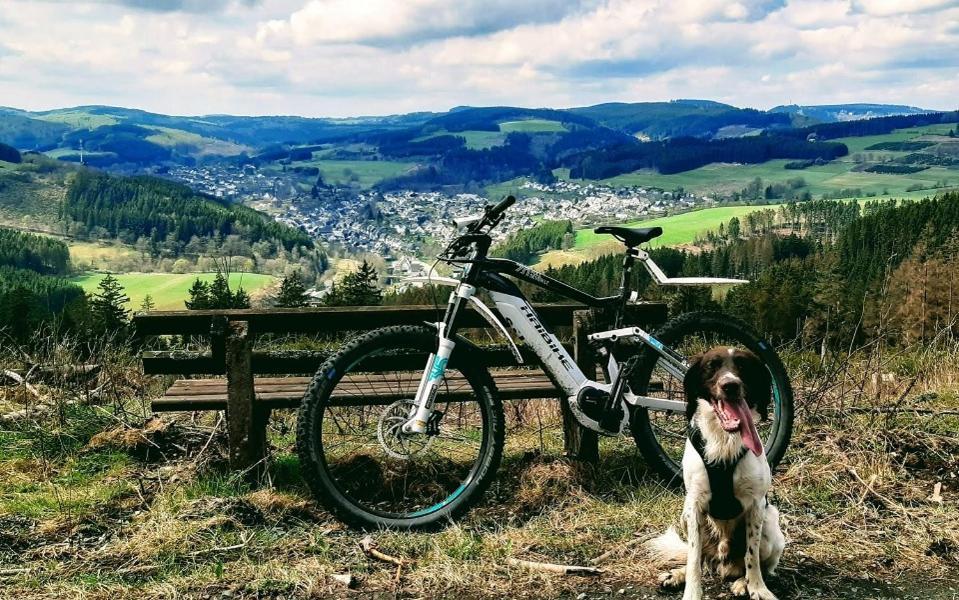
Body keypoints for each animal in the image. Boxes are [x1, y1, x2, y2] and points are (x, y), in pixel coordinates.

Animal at [644, 346, 788, 600]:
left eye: (743, 365)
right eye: (712, 366)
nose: (730, 385)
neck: (724, 442)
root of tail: (723, 560)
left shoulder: (756, 505)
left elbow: (752, 556)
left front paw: (757, 588)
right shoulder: (694, 505)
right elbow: (693, 559)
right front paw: (691, 592)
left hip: (771, 525)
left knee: (759, 564)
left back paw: (742, 582)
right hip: (684, 516)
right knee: (700, 558)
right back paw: (678, 575)